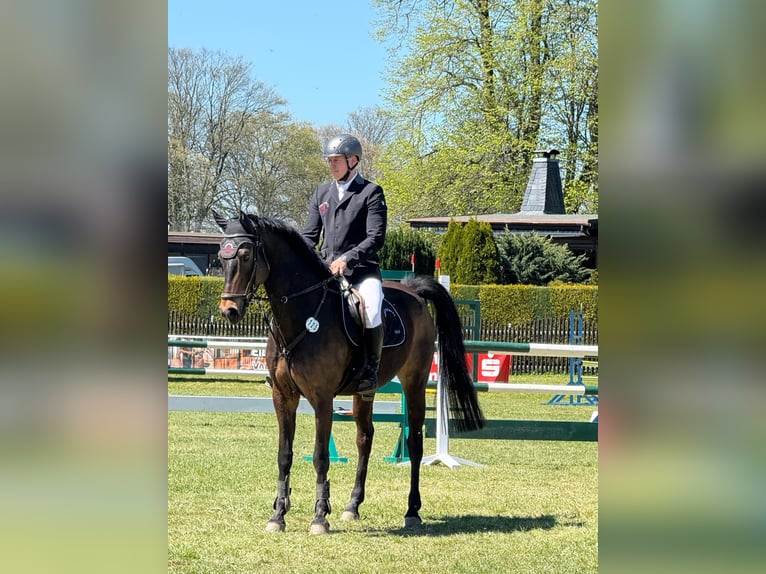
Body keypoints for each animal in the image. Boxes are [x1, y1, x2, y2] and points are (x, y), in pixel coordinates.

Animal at [213, 211, 484, 534]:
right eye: (220, 257)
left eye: (245, 255)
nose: (229, 310)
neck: (303, 316)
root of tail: (413, 291)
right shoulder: (283, 396)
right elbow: (284, 456)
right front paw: (278, 515)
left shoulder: (322, 398)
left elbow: (320, 456)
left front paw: (319, 517)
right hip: (364, 392)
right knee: (365, 438)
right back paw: (352, 506)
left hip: (415, 382)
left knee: (415, 443)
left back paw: (412, 511)